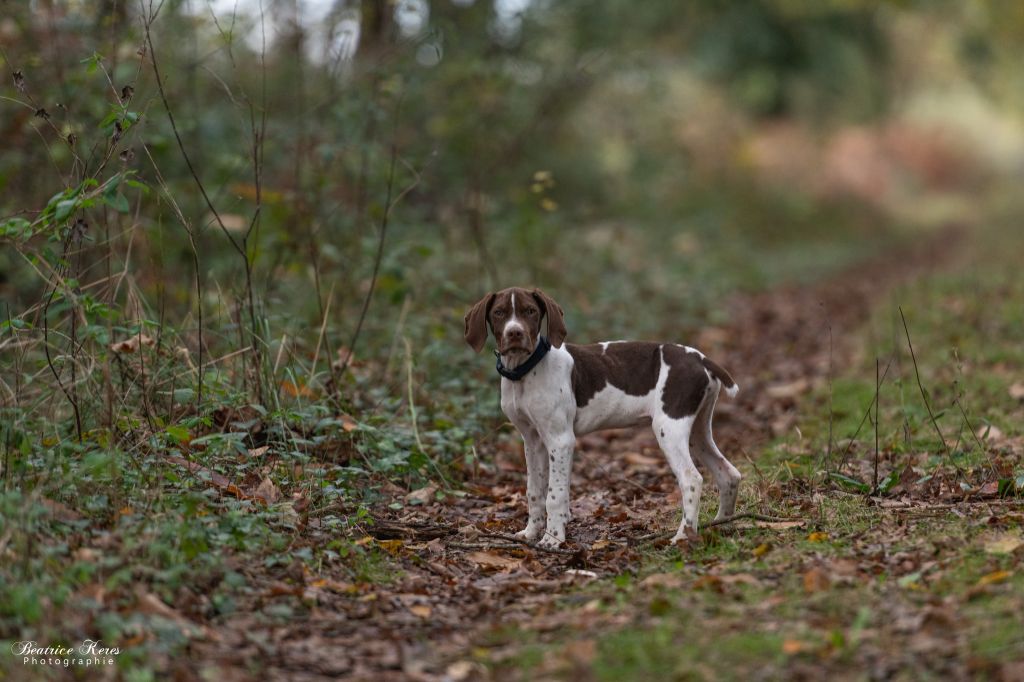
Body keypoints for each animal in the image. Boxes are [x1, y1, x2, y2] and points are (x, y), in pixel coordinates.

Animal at [466, 284, 745, 548]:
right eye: (499, 313)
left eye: (530, 311)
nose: (515, 333)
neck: (525, 371)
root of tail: (701, 359)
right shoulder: (533, 441)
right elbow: (534, 491)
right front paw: (530, 533)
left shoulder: (560, 440)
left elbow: (555, 495)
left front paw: (553, 539)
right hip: (698, 430)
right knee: (728, 474)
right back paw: (722, 526)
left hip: (670, 428)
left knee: (691, 479)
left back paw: (682, 537)